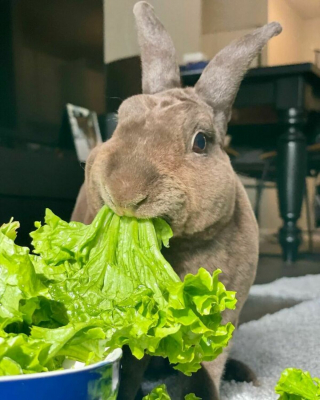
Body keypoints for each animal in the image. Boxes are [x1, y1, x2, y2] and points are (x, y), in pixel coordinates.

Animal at [71, 2, 282, 396]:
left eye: (201, 141)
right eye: (119, 122)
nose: (124, 190)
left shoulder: (221, 320)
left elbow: (207, 364)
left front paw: (205, 392)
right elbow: (131, 364)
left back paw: (246, 376)